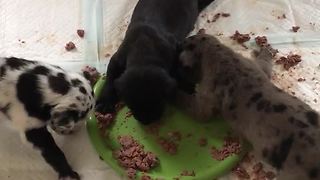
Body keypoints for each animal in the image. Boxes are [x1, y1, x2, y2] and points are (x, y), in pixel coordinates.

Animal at [175, 34, 320, 180]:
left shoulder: (204, 102)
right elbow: (264, 61)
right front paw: (265, 50)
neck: (218, 54)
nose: (179, 43)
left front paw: (173, 92)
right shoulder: (258, 67)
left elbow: (190, 104)